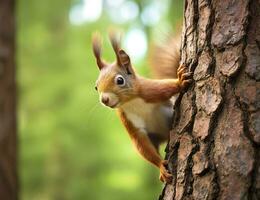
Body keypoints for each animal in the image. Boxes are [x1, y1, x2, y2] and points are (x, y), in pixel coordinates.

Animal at [92, 32, 192, 184]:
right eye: (96, 87)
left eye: (120, 80)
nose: (104, 99)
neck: (130, 102)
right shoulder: (127, 119)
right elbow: (140, 142)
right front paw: (161, 166)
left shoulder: (149, 90)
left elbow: (166, 88)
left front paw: (180, 82)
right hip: (154, 136)